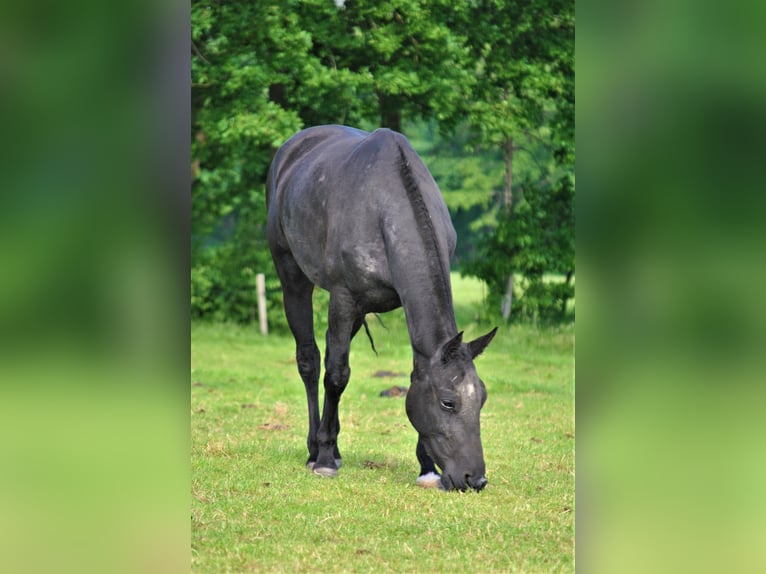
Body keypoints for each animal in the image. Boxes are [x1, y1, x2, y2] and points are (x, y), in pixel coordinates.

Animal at [266, 125, 497, 491]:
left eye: (483, 398)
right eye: (448, 401)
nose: (474, 478)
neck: (386, 210)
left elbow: (415, 373)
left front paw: (427, 467)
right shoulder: (343, 298)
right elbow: (336, 375)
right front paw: (325, 459)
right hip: (292, 275)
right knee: (310, 361)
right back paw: (315, 449)